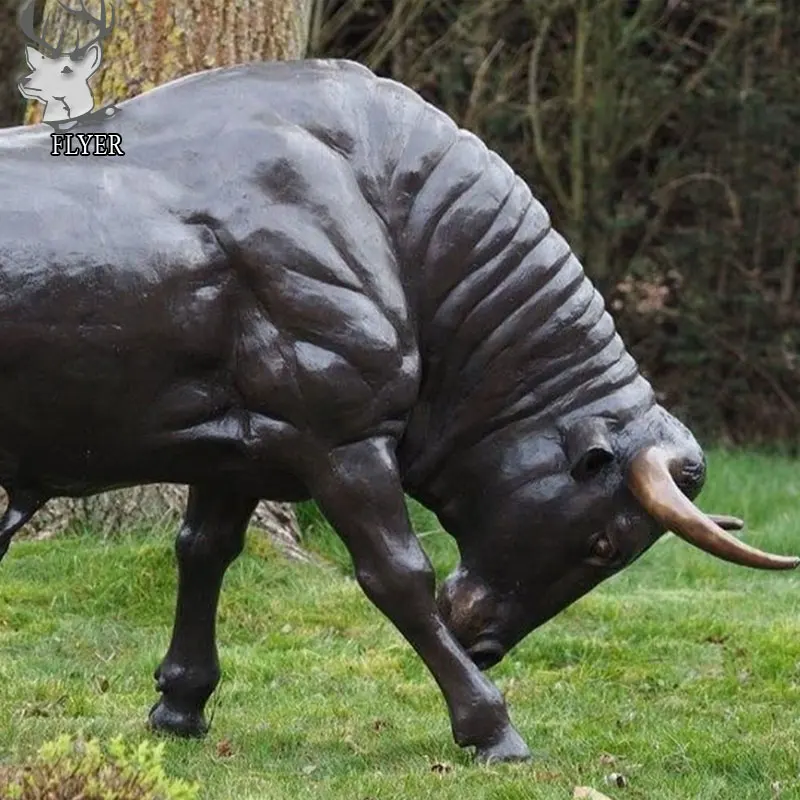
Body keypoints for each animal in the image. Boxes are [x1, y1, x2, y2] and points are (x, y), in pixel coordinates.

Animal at [0, 59, 796, 763]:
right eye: (604, 546)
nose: (481, 644)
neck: (387, 211)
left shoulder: (240, 447)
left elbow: (203, 551)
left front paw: (180, 705)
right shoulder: (340, 438)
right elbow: (399, 574)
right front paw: (491, 726)